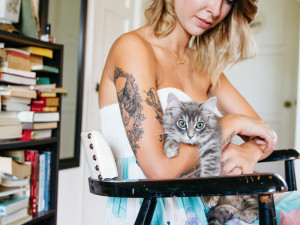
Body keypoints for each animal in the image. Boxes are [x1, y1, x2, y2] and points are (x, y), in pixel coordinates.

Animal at [162, 93, 258, 225]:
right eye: (182, 123)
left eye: (199, 125)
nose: (190, 136)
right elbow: (172, 136)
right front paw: (170, 147)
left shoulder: (212, 146)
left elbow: (210, 171)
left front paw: (209, 196)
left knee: (253, 211)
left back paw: (238, 211)